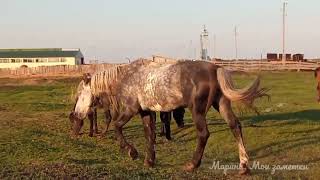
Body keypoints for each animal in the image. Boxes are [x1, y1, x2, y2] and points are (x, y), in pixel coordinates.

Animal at [72, 59, 268, 174]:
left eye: (81, 94)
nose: (78, 114)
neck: (126, 77)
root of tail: (215, 68)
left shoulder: (130, 109)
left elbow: (117, 126)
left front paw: (132, 152)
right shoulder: (146, 112)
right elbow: (149, 135)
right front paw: (149, 161)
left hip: (198, 110)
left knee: (203, 134)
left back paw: (192, 165)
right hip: (221, 104)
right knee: (235, 126)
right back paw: (244, 166)